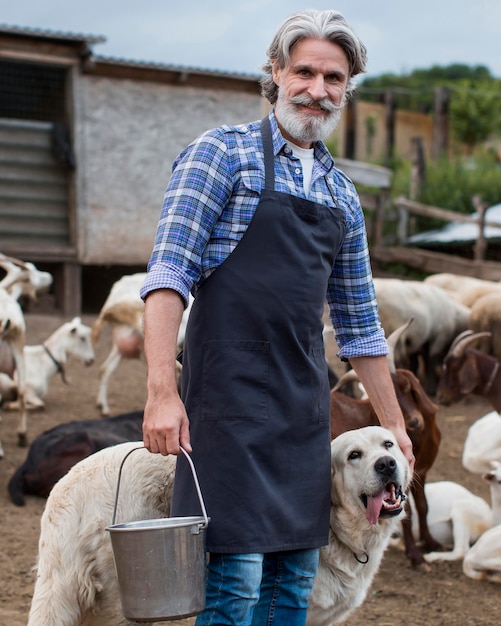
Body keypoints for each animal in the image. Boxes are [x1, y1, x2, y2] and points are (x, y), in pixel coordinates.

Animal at [330, 320, 440, 568]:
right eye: (393, 396)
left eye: (407, 387)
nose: (415, 421)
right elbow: (406, 514)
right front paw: (415, 555)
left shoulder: (420, 472)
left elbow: (424, 506)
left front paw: (430, 542)